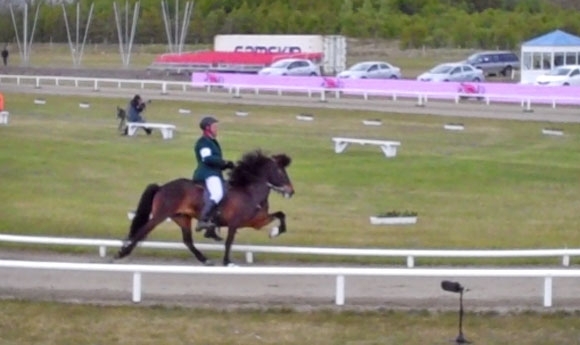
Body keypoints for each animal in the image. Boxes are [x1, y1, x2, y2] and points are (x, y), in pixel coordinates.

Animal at [114, 149, 294, 264]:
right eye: (280, 172)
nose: (291, 191)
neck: (249, 191)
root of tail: (162, 187)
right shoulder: (234, 223)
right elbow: (229, 241)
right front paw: (227, 262)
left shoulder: (257, 221)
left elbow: (281, 215)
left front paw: (274, 232)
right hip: (160, 215)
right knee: (142, 231)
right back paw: (121, 253)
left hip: (182, 218)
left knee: (187, 241)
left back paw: (205, 259)